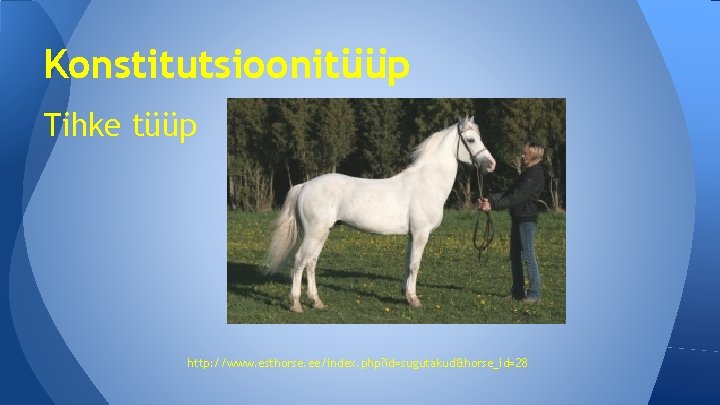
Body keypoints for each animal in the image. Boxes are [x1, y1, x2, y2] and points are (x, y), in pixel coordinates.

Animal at [266, 116, 496, 313]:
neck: (427, 182)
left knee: (311, 262)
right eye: (471, 139)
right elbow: (415, 265)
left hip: (322, 232)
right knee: (300, 260)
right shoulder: (421, 233)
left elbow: (407, 263)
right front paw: (414, 299)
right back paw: (296, 303)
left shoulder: (412, 234)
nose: (492, 164)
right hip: (315, 232)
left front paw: (406, 294)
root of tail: (304, 186)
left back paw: (316, 301)